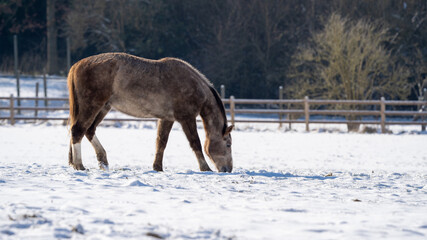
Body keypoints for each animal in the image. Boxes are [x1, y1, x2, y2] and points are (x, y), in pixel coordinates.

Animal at [67, 52, 234, 172]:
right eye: (228, 144)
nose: (228, 169)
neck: (193, 85)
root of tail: (76, 65)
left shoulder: (167, 119)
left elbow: (161, 142)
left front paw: (157, 167)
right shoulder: (186, 118)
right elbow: (196, 143)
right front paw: (205, 167)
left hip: (103, 108)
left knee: (88, 131)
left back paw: (100, 161)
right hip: (92, 106)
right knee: (78, 130)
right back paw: (80, 165)